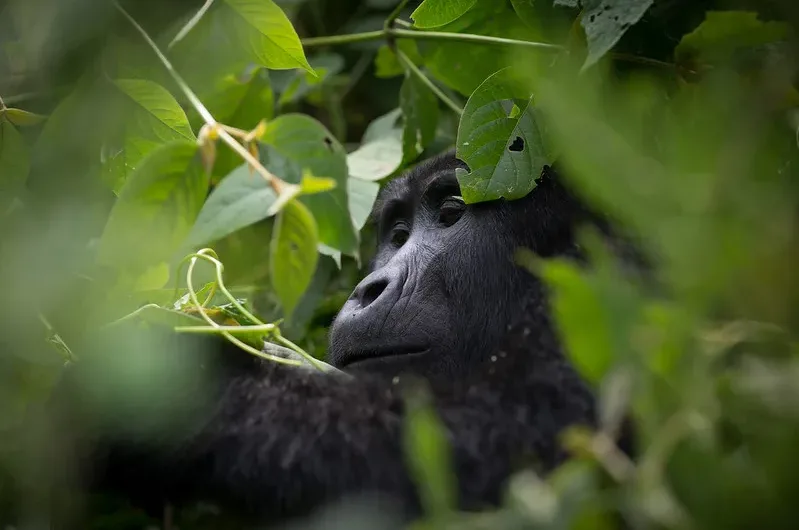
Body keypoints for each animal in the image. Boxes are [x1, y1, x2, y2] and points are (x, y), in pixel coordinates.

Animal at [51, 151, 636, 520]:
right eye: (397, 235)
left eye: (451, 213)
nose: (368, 289)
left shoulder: (599, 283)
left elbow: (502, 452)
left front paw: (190, 381)